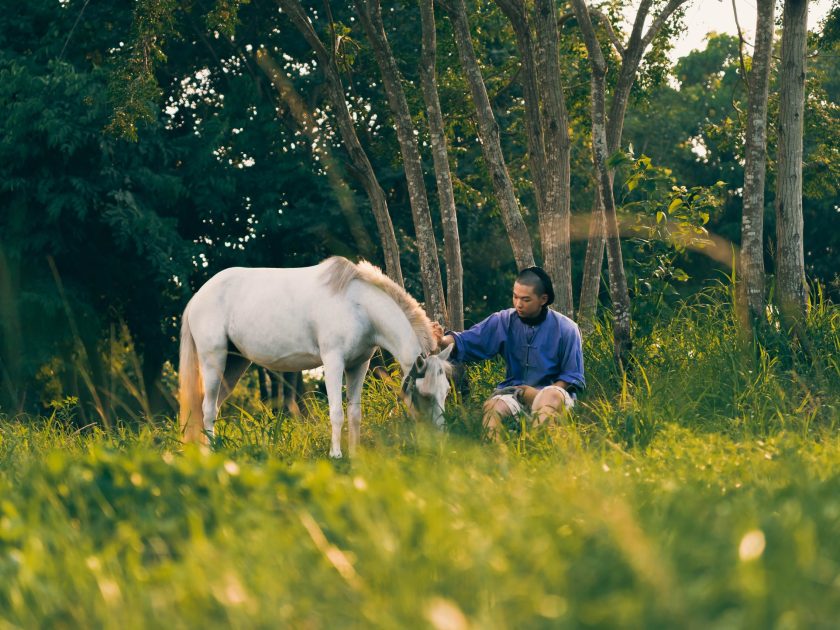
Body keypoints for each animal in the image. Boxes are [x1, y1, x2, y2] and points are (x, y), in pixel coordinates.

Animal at [178, 256, 454, 457]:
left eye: (446, 391)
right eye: (424, 394)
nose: (439, 441)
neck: (358, 305)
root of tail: (198, 296)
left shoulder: (358, 366)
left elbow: (354, 414)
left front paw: (355, 455)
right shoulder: (333, 362)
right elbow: (337, 412)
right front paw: (336, 455)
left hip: (235, 365)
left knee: (211, 407)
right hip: (214, 360)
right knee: (207, 408)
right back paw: (210, 454)